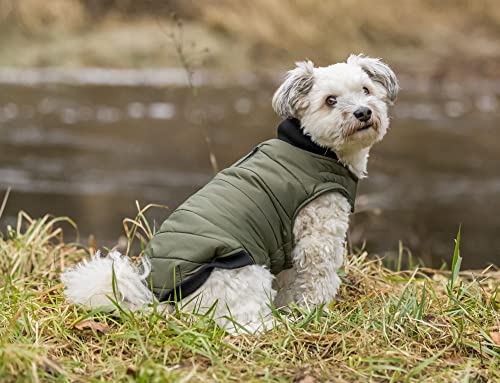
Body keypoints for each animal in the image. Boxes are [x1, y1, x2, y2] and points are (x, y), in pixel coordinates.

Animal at [62, 53, 398, 332]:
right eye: (330, 100)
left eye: (366, 90)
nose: (363, 112)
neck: (313, 148)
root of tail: (162, 301)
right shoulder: (318, 239)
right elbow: (318, 282)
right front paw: (316, 314)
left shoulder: (288, 247)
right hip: (247, 274)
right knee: (244, 324)